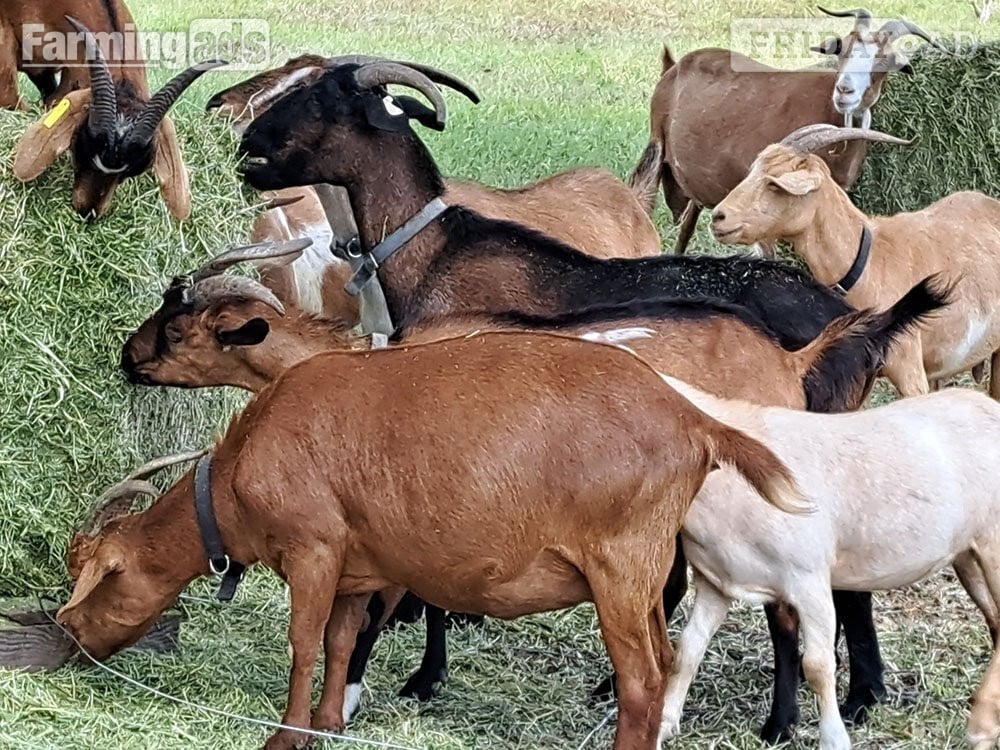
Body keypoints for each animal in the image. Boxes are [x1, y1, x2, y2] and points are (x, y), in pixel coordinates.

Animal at [58, 330, 807, 750]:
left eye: (97, 578)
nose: (73, 642)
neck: (244, 465)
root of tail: (694, 421)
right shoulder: (356, 568)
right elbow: (340, 642)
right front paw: (328, 723)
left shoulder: (313, 549)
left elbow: (303, 644)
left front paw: (285, 734)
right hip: (647, 572)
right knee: (662, 660)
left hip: (619, 568)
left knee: (643, 678)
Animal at [118, 239, 947, 738]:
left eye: (182, 328)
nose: (126, 356)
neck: (374, 359)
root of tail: (791, 356)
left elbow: (406, 602)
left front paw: (382, 687)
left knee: (785, 605)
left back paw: (780, 722)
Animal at [629, 7, 939, 254]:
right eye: (843, 49)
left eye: (885, 61)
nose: (845, 91)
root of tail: (673, 66)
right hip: (655, 148)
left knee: (686, 228)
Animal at [656, 376, 1000, 750]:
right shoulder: (718, 580)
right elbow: (688, 649)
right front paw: (665, 724)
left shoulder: (809, 579)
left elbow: (818, 666)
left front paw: (834, 738)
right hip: (967, 553)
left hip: (993, 543)